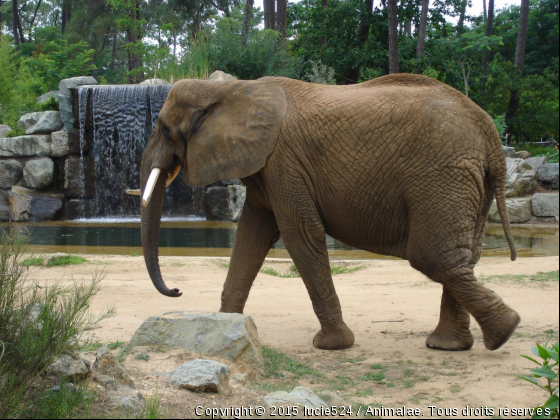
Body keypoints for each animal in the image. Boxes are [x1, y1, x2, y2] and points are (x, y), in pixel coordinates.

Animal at [139, 74, 520, 352]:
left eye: (163, 127)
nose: (177, 291)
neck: (229, 88)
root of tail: (489, 132)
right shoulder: (267, 167)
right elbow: (251, 235)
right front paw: (224, 327)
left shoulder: (284, 162)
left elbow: (299, 235)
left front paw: (332, 345)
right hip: (468, 179)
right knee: (464, 255)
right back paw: (455, 344)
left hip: (442, 175)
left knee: (434, 256)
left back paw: (503, 332)